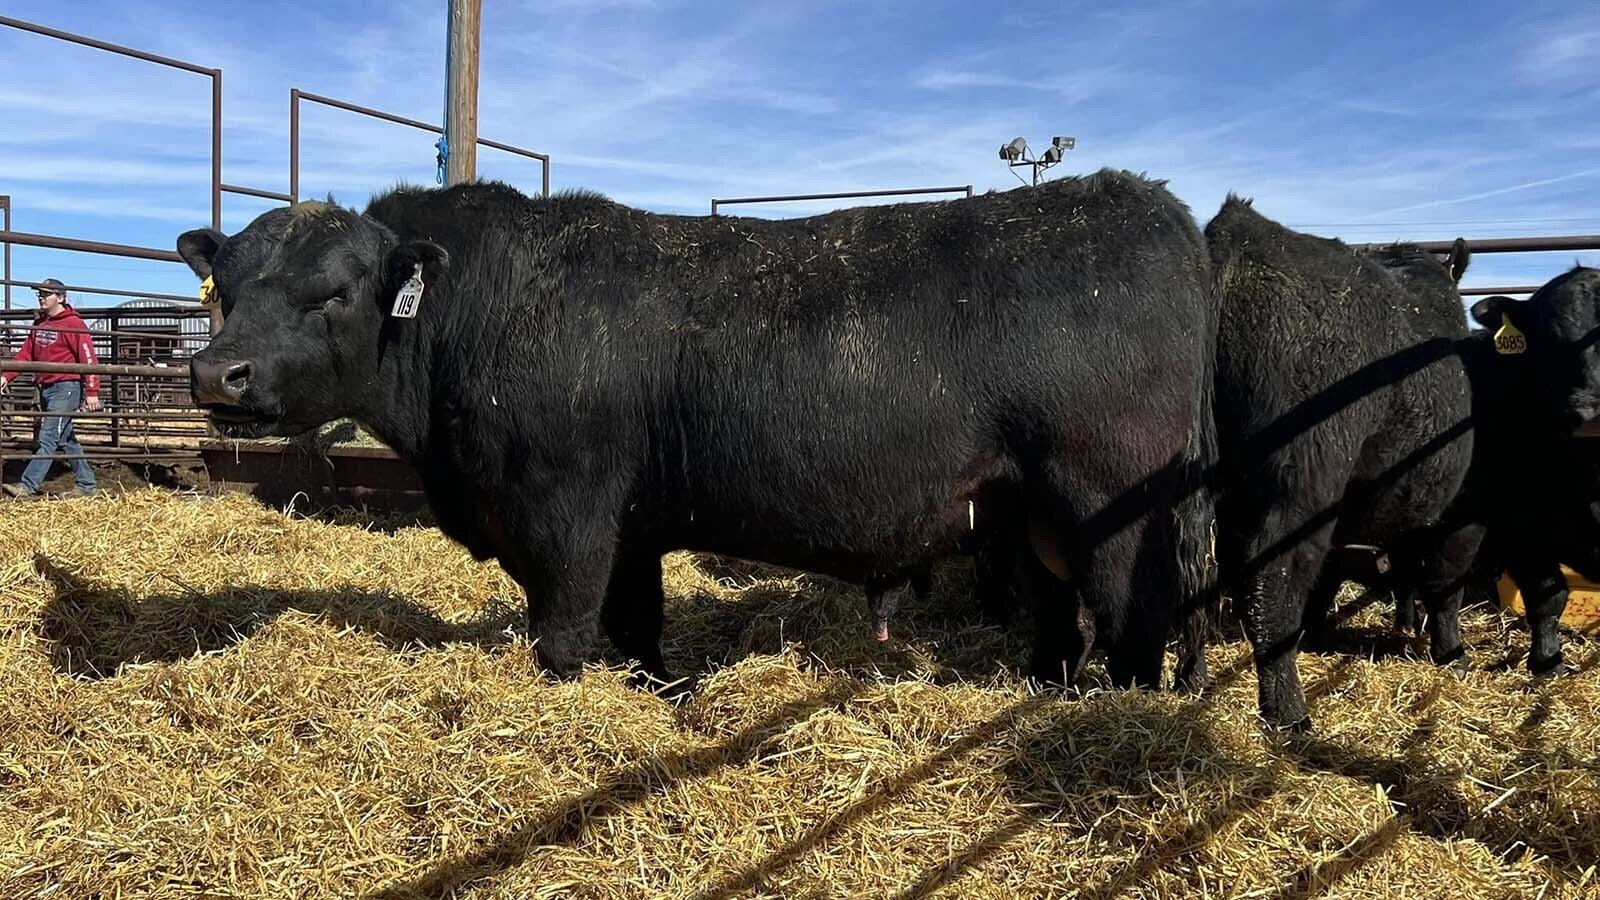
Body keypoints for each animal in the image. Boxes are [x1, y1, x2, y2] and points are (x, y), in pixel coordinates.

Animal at [177, 171, 1219, 692]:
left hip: (1112, 501)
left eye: (334, 293)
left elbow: (563, 635)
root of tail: (1148, 201)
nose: (214, 373)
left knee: (1133, 616)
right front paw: (661, 696)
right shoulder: (631, 526)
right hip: (1031, 508)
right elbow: (638, 629)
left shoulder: (565, 515)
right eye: (226, 284)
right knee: (1059, 615)